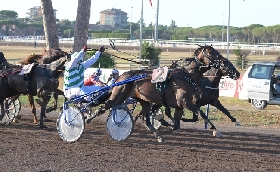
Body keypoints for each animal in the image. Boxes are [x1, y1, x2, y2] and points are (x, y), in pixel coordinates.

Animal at [94, 44, 225, 142]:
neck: (187, 76)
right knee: (102, 108)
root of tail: (121, 77)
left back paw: (159, 135)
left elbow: (177, 123)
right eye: (211, 52)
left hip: (145, 101)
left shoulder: (179, 106)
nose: (223, 61)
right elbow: (201, 113)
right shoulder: (185, 102)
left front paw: (169, 125)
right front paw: (215, 130)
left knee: (146, 119)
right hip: (118, 96)